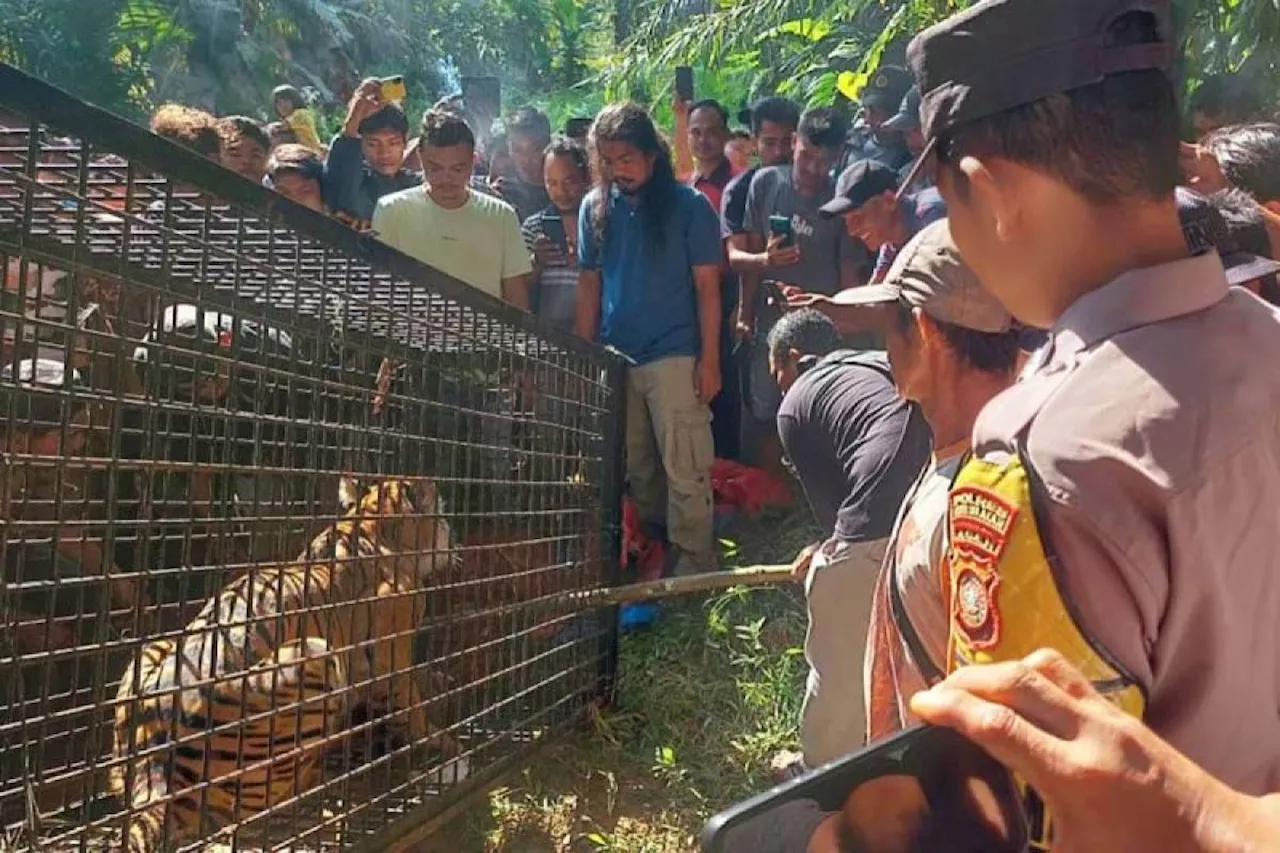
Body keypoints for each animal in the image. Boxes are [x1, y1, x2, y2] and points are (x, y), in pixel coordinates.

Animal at [108, 473, 460, 845]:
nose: (454, 541)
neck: (369, 525)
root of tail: (157, 781)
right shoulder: (390, 653)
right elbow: (412, 705)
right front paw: (444, 742)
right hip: (315, 654)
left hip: (152, 649)